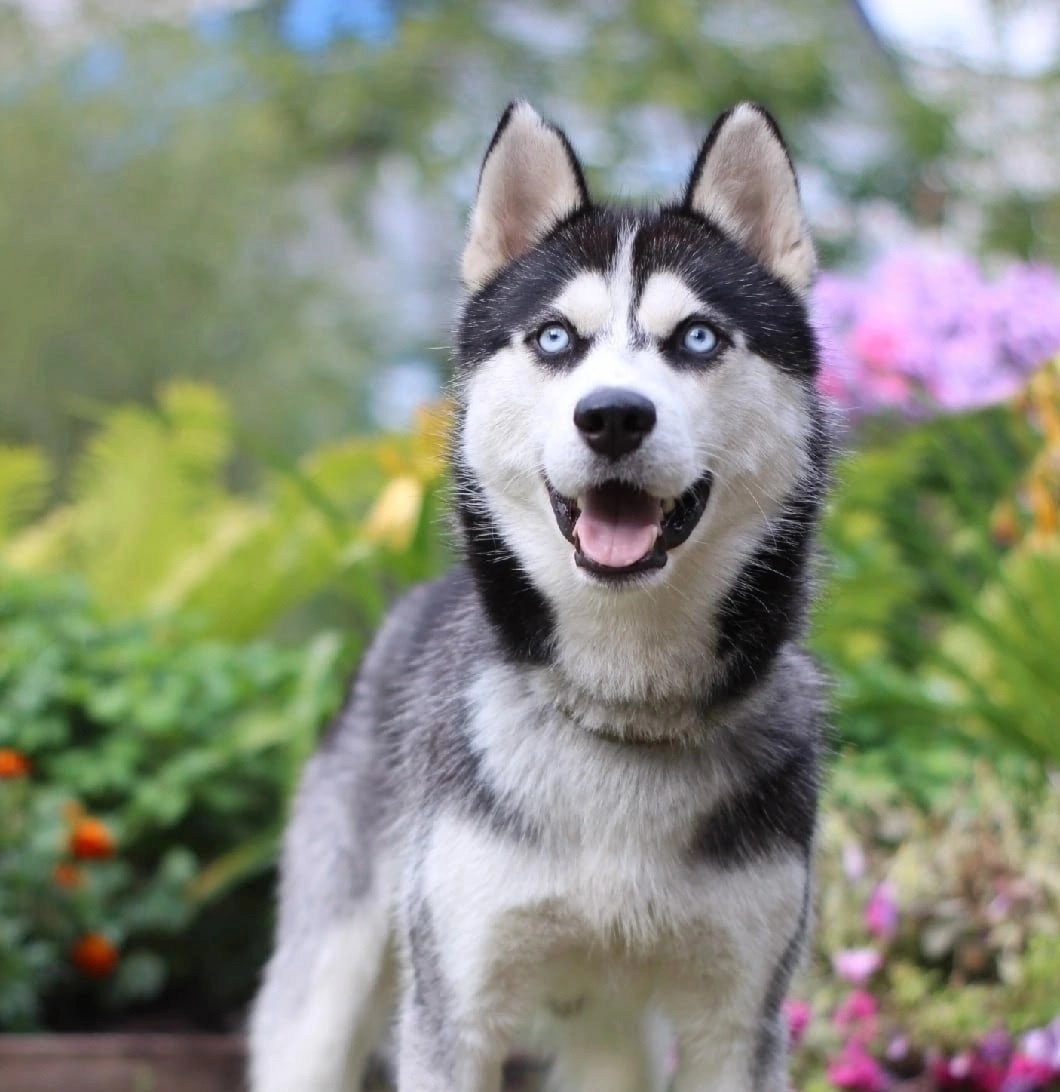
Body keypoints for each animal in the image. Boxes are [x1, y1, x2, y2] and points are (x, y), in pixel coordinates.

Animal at [248, 102, 829, 1092]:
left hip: (608, 1033)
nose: (614, 416)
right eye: (555, 338)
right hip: (325, 992)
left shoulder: (737, 1017)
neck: (621, 709)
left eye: (698, 338)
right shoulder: (455, 1007)